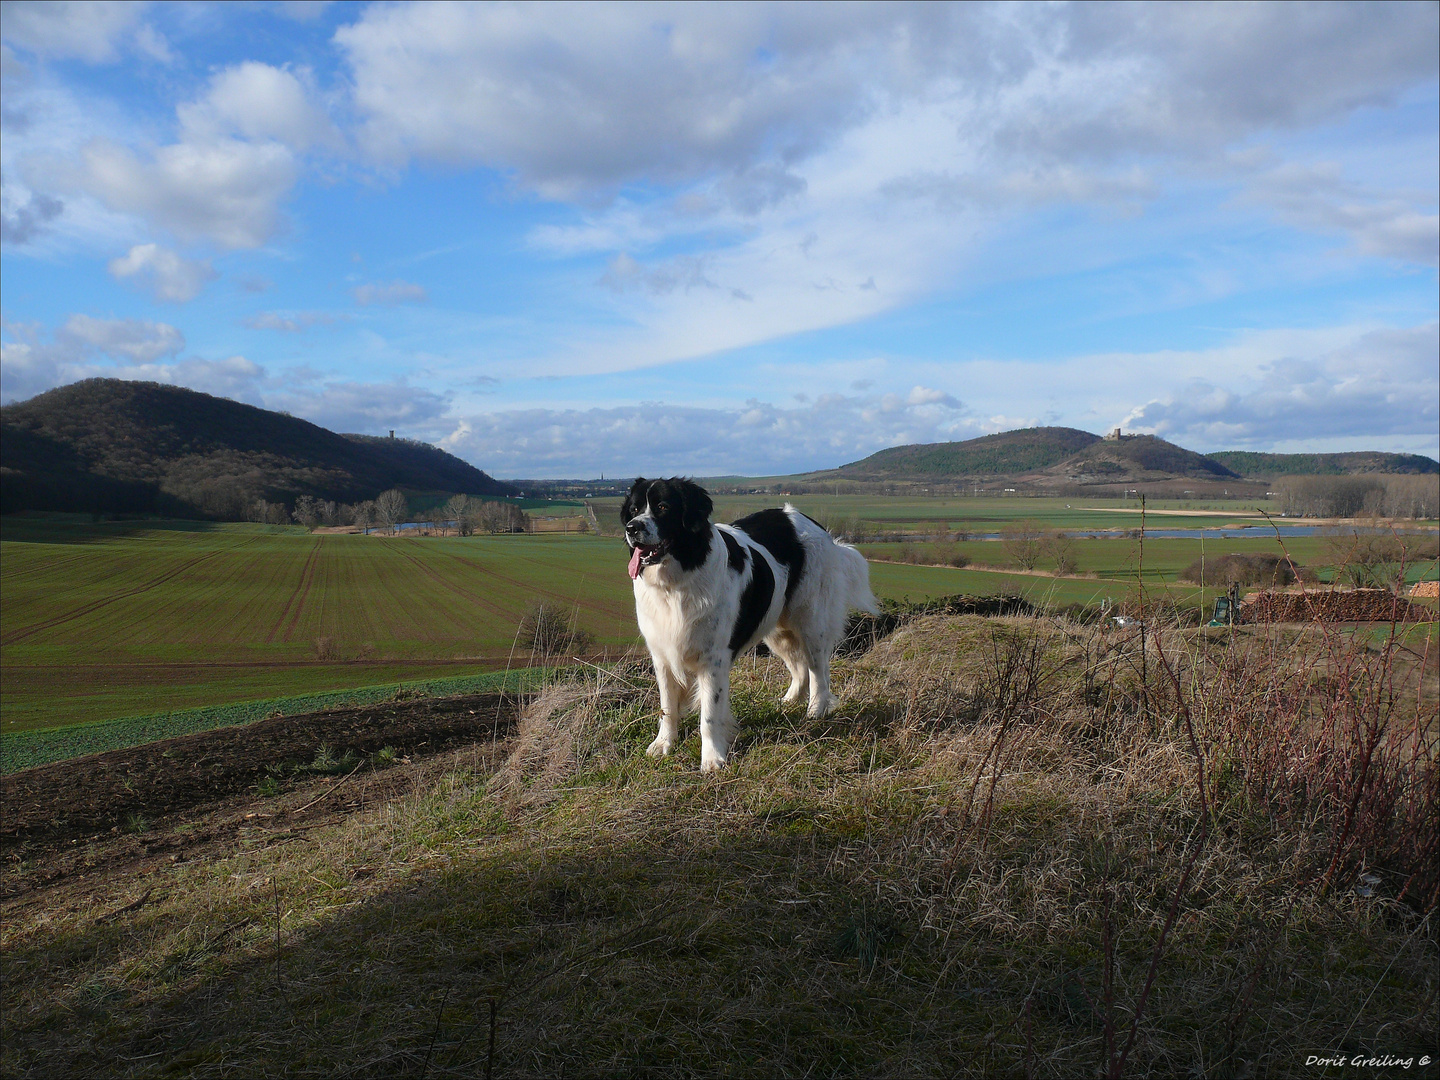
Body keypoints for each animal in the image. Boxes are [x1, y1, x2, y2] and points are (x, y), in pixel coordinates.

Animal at [622, 478, 875, 771]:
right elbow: (668, 706)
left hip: (811, 622)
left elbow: (709, 714)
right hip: (777, 628)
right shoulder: (662, 653)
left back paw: (816, 710)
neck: (675, 583)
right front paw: (663, 744)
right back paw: (789, 701)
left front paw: (712, 758)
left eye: (663, 507)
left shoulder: (714, 658)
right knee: (800, 667)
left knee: (818, 669)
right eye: (633, 509)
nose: (632, 528)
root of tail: (813, 523)